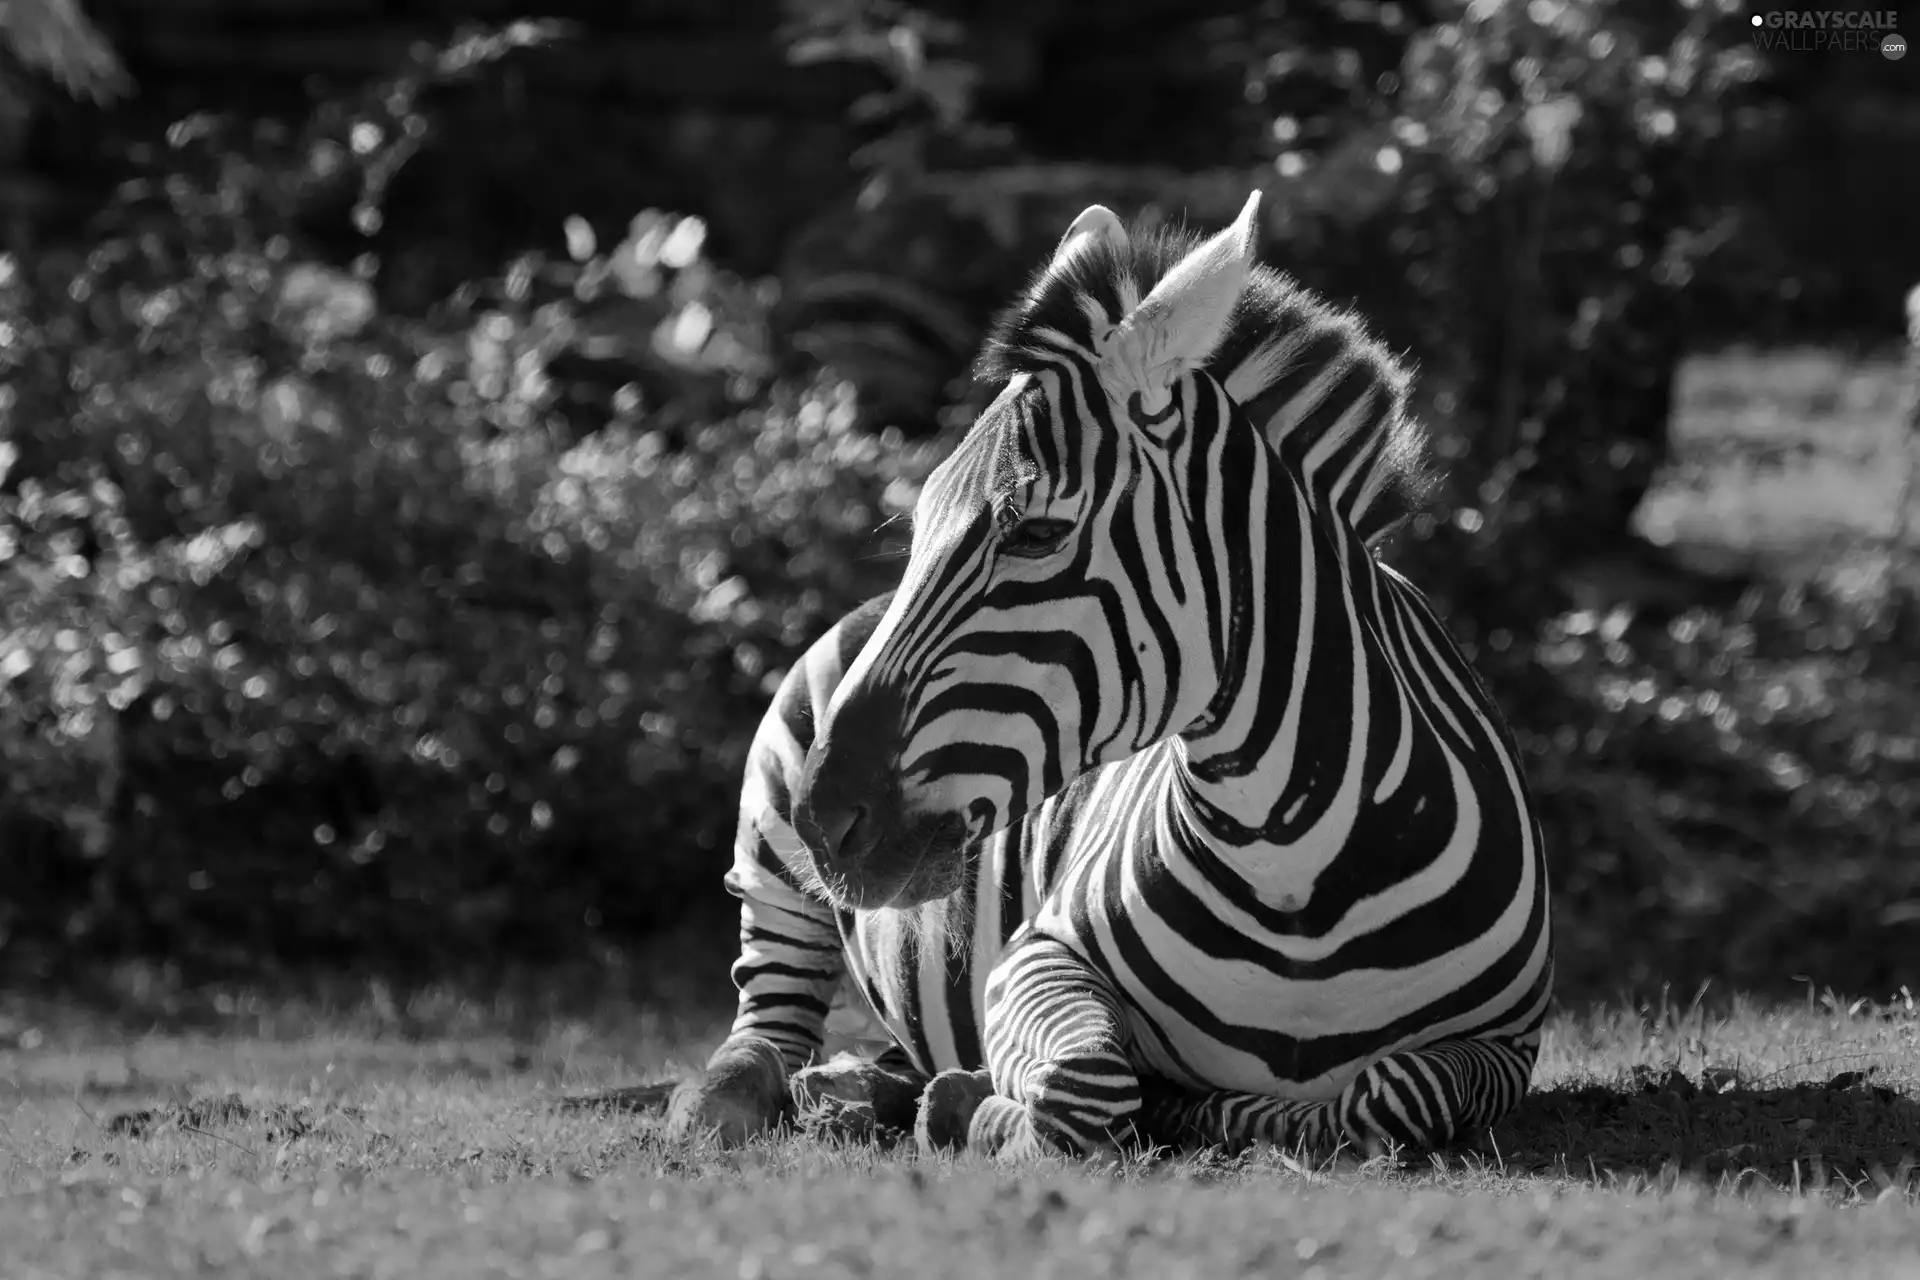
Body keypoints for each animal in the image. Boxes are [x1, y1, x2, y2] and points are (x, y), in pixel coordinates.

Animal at [668, 192, 1551, 1159]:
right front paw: (985, 1108)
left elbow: (1393, 1094)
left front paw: (1201, 1109)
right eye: (921, 522)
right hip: (770, 859)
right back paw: (741, 1097)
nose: (824, 822)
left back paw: (863, 1088)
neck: (1296, 868)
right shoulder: (1036, 957)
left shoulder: (1506, 1041)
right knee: (765, 1018)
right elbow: (1089, 1080)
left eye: (1037, 533)